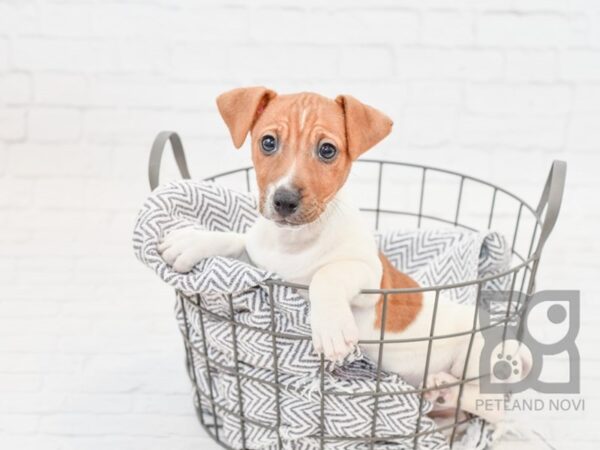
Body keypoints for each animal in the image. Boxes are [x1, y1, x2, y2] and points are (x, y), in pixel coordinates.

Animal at [157, 87, 528, 426]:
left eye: (327, 150)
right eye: (268, 142)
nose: (284, 200)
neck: (295, 242)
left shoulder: (369, 277)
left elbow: (327, 275)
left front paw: (331, 329)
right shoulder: (262, 262)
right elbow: (237, 241)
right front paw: (192, 241)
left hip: (474, 354)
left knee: (494, 407)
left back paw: (447, 388)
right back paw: (441, 394)